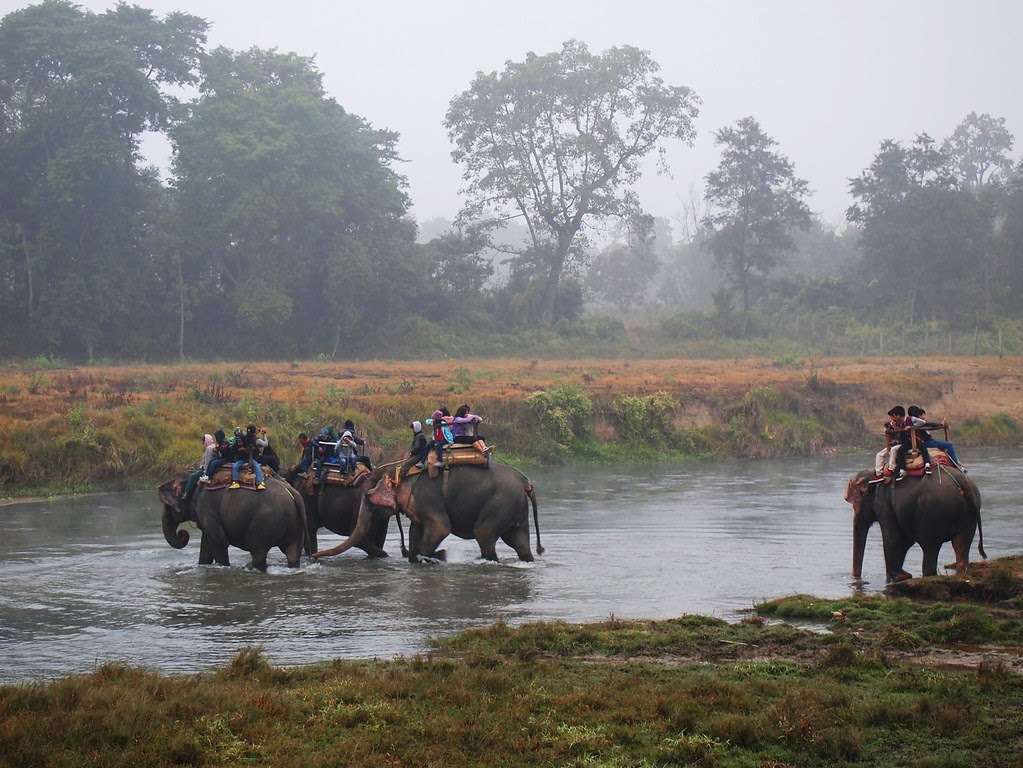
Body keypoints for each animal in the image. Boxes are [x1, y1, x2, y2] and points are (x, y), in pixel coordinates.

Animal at [159, 468, 308, 572]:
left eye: (168, 506)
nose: (182, 533)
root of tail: (294, 494)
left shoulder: (205, 507)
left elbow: (218, 540)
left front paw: (223, 566)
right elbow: (206, 544)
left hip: (265, 522)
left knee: (257, 550)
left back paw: (250, 566)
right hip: (294, 527)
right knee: (293, 554)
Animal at [315, 462, 544, 564]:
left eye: (366, 496)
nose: (315, 555)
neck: (401, 470)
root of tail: (526, 482)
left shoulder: (427, 498)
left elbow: (441, 527)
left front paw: (437, 556)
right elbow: (415, 532)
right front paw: (420, 557)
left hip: (501, 503)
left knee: (485, 534)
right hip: (515, 509)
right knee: (519, 542)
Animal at [842, 468, 986, 580]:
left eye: (854, 504)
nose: (856, 578)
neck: (875, 475)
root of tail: (963, 483)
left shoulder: (884, 504)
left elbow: (892, 538)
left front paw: (900, 577)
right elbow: (905, 541)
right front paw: (900, 576)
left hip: (932, 514)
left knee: (930, 546)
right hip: (969, 516)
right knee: (961, 545)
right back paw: (961, 575)